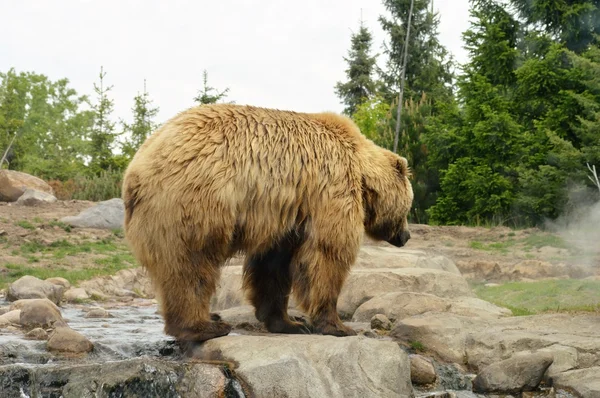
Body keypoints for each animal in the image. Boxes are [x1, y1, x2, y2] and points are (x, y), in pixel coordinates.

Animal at [122, 104, 412, 344]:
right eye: (409, 206)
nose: (406, 235)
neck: (361, 172)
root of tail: (135, 172)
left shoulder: (286, 216)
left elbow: (272, 267)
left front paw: (289, 322)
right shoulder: (330, 191)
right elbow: (327, 254)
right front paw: (337, 325)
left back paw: (211, 318)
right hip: (196, 201)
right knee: (191, 264)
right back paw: (205, 326)